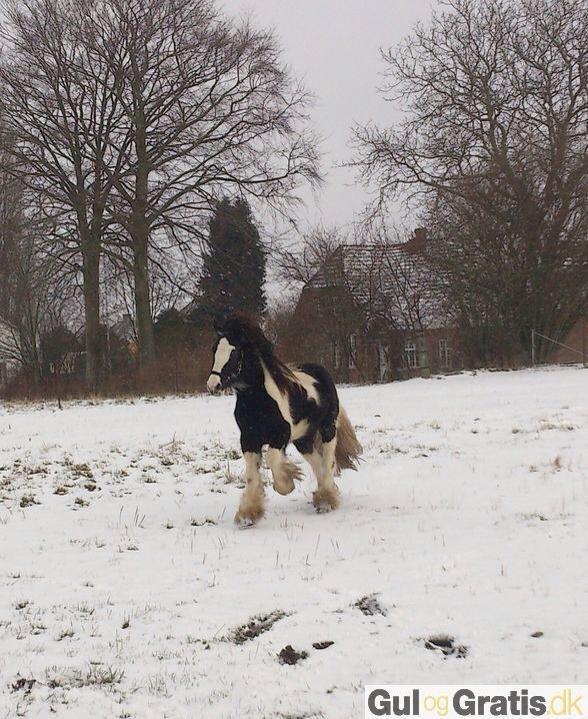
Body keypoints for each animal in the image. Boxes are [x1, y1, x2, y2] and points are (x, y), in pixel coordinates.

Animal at [207, 316, 362, 524]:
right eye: (214, 349)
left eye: (233, 353)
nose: (213, 385)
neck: (257, 401)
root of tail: (322, 372)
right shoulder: (248, 439)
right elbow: (251, 474)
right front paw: (249, 514)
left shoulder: (280, 435)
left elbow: (273, 459)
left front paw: (287, 483)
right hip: (303, 439)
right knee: (317, 463)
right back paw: (321, 495)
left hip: (327, 428)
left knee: (328, 460)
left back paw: (326, 501)